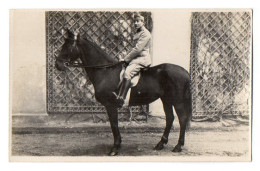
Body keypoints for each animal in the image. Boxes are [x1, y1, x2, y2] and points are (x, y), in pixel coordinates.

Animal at [55, 30, 192, 156]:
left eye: (68, 46)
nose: (58, 65)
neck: (105, 71)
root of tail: (185, 71)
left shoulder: (110, 106)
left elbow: (114, 125)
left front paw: (115, 148)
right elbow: (114, 125)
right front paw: (118, 145)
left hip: (178, 101)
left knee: (182, 119)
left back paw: (178, 146)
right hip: (166, 100)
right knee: (170, 118)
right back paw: (161, 144)